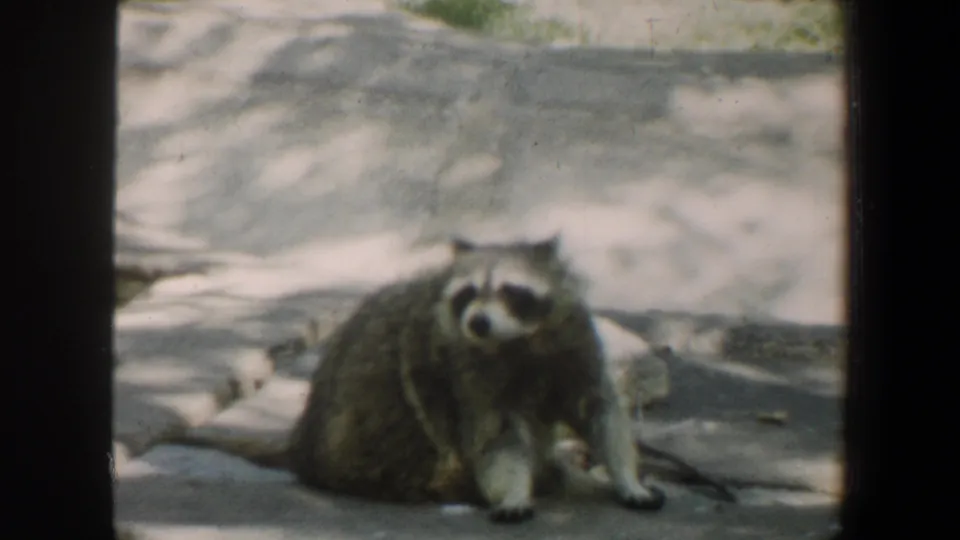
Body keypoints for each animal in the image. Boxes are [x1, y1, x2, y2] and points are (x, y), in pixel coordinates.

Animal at [287, 235, 666, 523]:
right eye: (467, 293)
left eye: (510, 291)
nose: (478, 322)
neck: (518, 340)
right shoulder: (468, 370)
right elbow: (497, 437)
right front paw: (513, 491)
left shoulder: (575, 347)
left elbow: (600, 412)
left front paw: (627, 478)